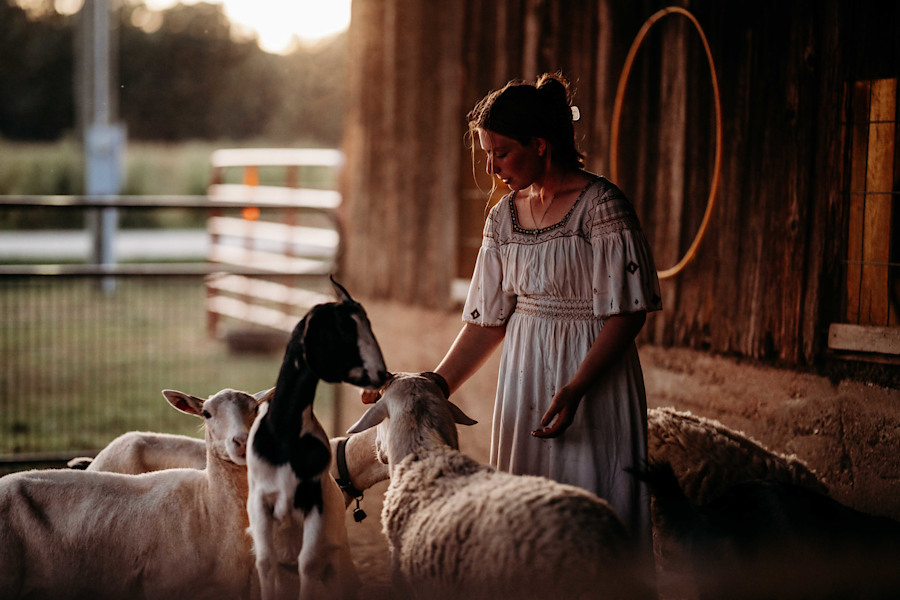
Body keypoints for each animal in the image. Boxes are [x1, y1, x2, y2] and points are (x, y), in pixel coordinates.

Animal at [248, 280, 388, 600]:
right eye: (344, 331)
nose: (382, 373)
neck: (285, 437)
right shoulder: (261, 501)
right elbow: (265, 561)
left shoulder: (314, 502)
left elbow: (308, 562)